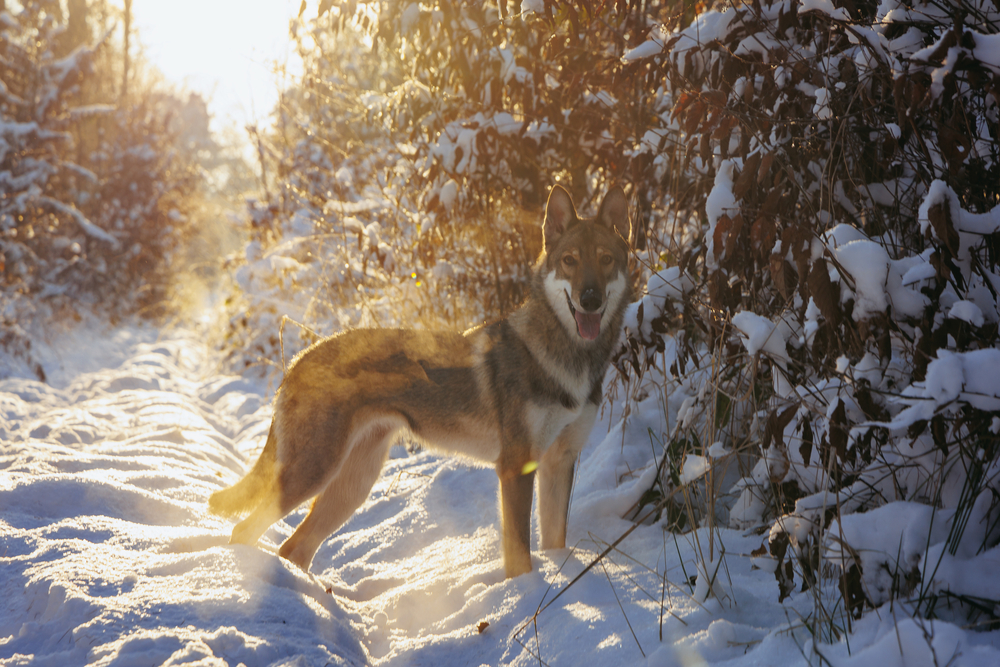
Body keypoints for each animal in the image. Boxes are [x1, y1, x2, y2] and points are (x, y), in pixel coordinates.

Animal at [209, 185, 633, 578]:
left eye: (606, 260)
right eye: (569, 261)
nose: (590, 299)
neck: (570, 358)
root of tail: (300, 359)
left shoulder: (559, 464)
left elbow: (554, 542)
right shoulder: (515, 468)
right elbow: (520, 560)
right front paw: (522, 595)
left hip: (351, 487)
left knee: (293, 548)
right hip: (313, 474)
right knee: (245, 532)